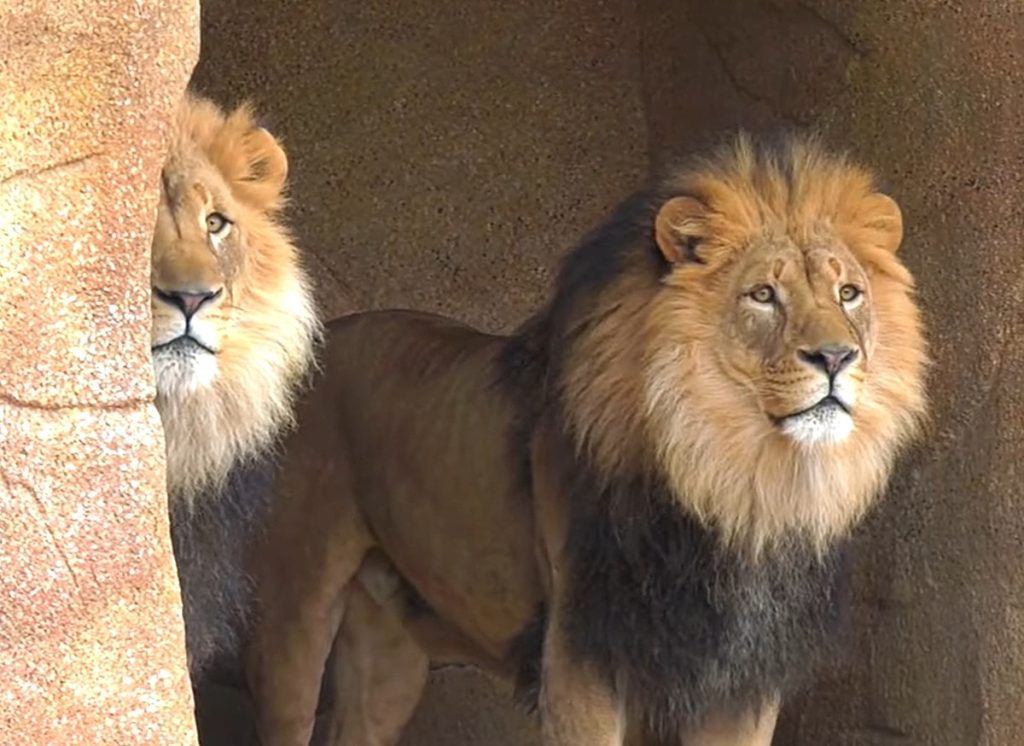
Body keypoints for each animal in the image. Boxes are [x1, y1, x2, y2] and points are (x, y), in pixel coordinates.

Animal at [246, 134, 927, 746]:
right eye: (763, 295)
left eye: (849, 293)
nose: (837, 357)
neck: (736, 478)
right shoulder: (581, 655)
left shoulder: (741, 676)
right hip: (297, 605)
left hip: (390, 649)